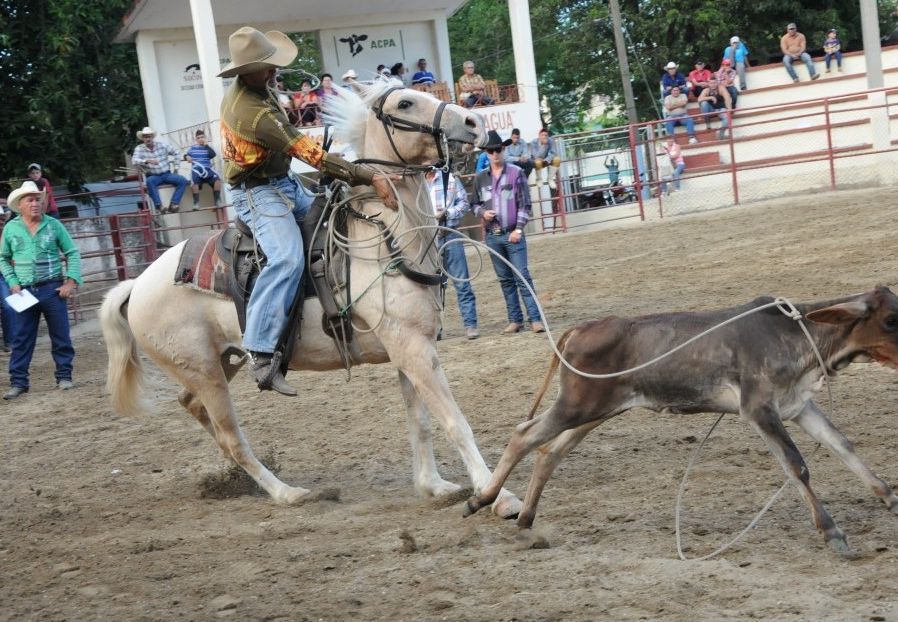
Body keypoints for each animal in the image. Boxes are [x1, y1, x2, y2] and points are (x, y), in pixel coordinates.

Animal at [99, 80, 520, 520]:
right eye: (405, 103)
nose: (473, 123)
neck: (383, 236)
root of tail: (138, 284)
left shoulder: (413, 348)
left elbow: (420, 420)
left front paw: (434, 486)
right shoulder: (411, 348)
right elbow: (454, 420)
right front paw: (496, 495)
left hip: (223, 361)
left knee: (195, 409)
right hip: (205, 373)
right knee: (232, 438)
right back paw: (288, 493)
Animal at [466, 288, 898, 556]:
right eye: (892, 319)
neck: (795, 332)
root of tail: (582, 327)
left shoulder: (798, 406)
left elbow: (841, 443)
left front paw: (888, 495)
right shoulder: (758, 408)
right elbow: (796, 465)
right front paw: (832, 531)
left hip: (596, 411)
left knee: (548, 453)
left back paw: (526, 519)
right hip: (576, 406)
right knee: (523, 436)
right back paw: (481, 499)